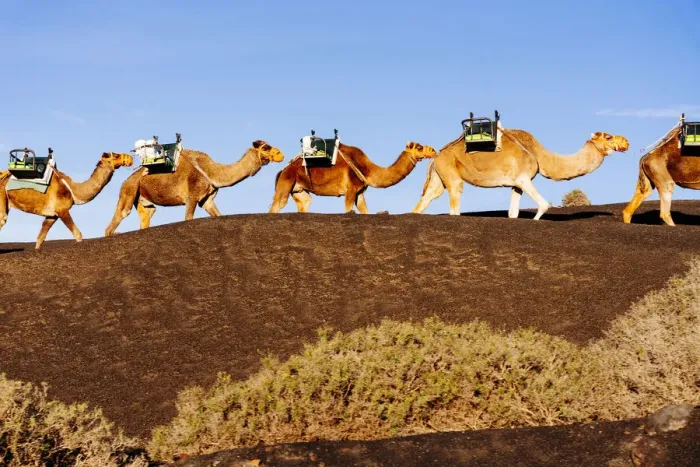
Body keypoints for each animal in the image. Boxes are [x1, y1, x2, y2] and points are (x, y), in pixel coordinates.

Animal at [0, 152, 133, 249]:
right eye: (115, 155)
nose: (130, 158)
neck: (72, 189)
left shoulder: (52, 216)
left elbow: (40, 238)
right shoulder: (62, 210)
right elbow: (78, 234)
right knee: (2, 219)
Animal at [105, 140, 283, 235]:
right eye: (266, 147)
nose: (280, 153)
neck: (212, 171)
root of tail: (126, 181)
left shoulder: (207, 200)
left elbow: (217, 214)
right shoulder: (192, 196)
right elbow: (188, 218)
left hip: (144, 201)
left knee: (146, 216)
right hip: (128, 191)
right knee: (119, 216)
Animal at [269, 141, 437, 214]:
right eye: (419, 147)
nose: (433, 150)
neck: (368, 169)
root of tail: (282, 170)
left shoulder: (359, 192)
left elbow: (365, 210)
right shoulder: (349, 190)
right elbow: (349, 210)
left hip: (299, 190)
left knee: (305, 203)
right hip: (286, 182)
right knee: (276, 205)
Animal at [413, 129, 629, 218]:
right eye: (608, 137)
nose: (626, 142)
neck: (539, 155)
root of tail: (437, 156)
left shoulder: (516, 184)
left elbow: (513, 213)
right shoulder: (524, 178)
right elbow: (544, 205)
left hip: (439, 176)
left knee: (426, 198)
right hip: (450, 171)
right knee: (455, 201)